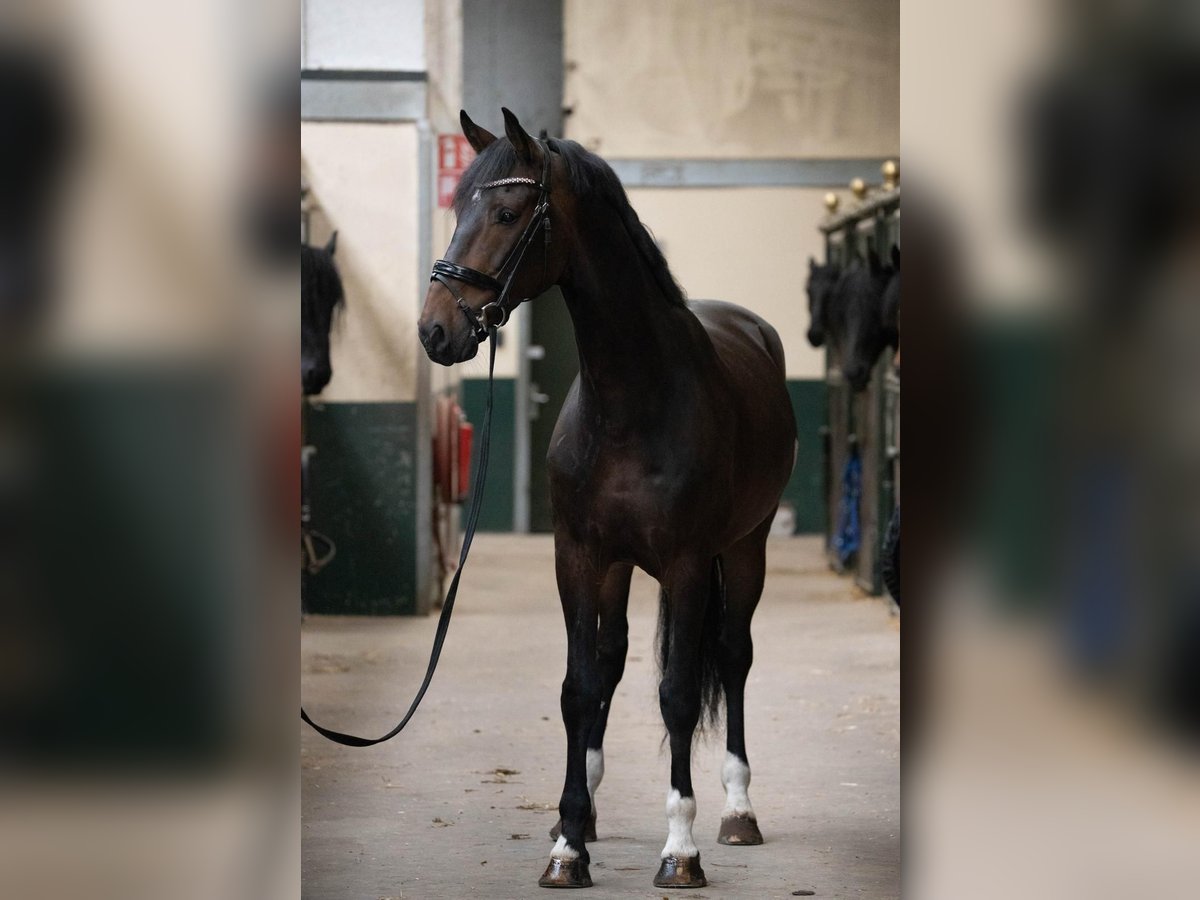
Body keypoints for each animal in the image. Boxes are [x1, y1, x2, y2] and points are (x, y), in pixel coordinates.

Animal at [417, 109, 801, 892]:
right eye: (457, 207)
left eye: (507, 213)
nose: (436, 330)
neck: (631, 400)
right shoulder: (578, 556)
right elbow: (580, 684)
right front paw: (568, 844)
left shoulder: (688, 563)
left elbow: (678, 694)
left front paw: (680, 850)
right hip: (621, 568)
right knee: (613, 658)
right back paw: (590, 807)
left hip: (744, 551)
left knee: (733, 656)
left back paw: (738, 811)